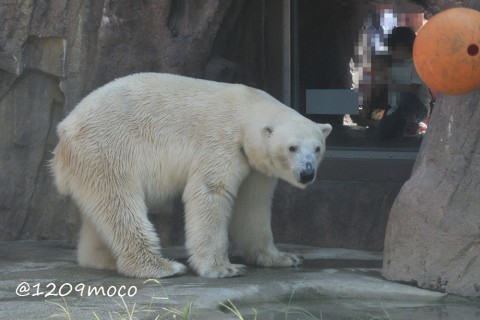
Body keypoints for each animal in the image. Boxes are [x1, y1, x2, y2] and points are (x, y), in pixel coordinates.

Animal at [51, 72, 330, 278]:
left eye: (317, 148)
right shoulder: (221, 141)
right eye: (292, 147)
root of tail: (65, 129)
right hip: (107, 149)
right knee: (121, 204)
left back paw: (103, 258)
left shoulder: (254, 167)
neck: (247, 108)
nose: (307, 173)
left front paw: (285, 257)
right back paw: (162, 266)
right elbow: (210, 192)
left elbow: (252, 206)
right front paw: (224, 268)